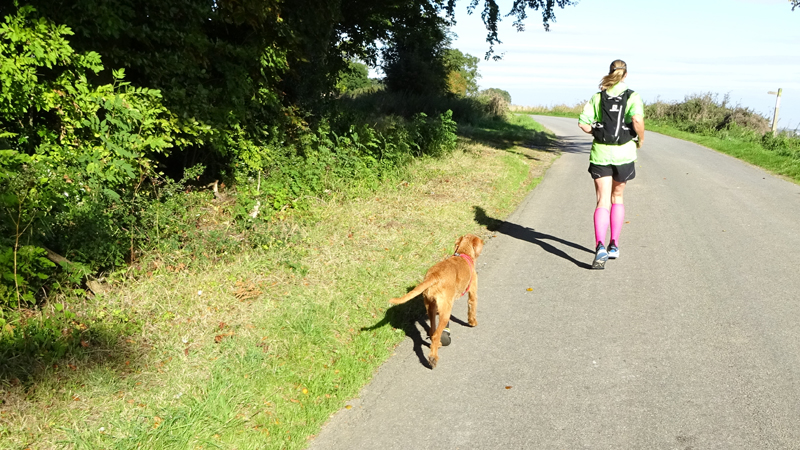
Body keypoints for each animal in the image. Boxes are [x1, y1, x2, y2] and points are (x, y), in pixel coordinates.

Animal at [390, 234, 484, 368]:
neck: (463, 253)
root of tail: (433, 276)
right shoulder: (472, 292)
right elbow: (472, 308)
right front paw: (473, 322)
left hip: (431, 306)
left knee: (432, 330)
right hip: (445, 313)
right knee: (435, 335)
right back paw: (433, 358)